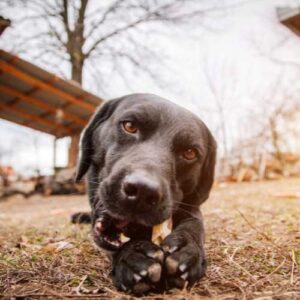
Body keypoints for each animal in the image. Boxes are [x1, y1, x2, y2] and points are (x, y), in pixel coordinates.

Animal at [74, 94, 217, 292]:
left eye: (190, 153)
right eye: (129, 126)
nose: (142, 191)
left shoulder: (192, 207)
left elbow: (195, 224)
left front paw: (188, 248)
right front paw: (133, 254)